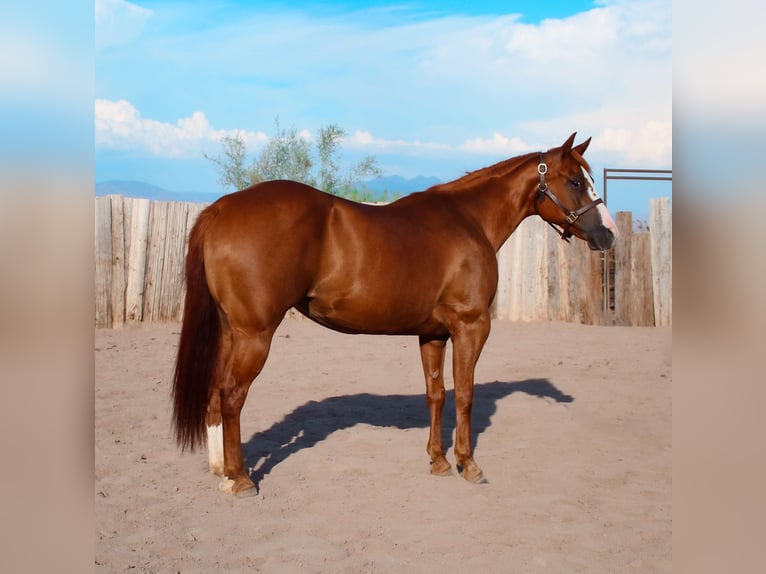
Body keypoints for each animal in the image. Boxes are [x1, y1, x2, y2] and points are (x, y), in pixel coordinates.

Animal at [172, 132, 618, 496]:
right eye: (575, 181)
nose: (609, 234)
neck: (469, 220)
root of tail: (222, 208)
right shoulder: (471, 327)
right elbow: (466, 394)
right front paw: (469, 464)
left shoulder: (433, 333)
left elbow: (437, 394)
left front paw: (438, 460)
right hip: (255, 334)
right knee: (232, 395)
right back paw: (242, 479)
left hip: (231, 331)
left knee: (214, 394)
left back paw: (222, 472)